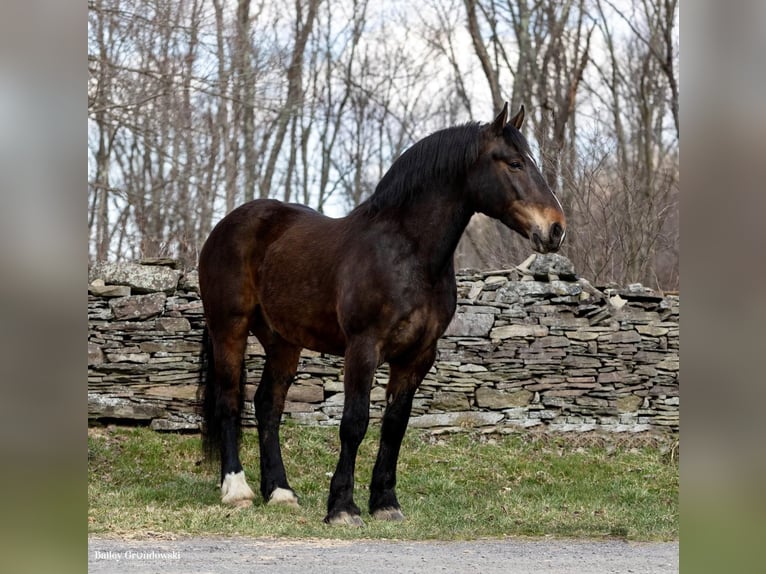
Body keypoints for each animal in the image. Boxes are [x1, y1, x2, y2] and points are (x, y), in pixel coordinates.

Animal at [198, 103, 568, 528]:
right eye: (514, 163)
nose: (555, 229)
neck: (407, 254)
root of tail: (227, 225)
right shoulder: (363, 349)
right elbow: (354, 423)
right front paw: (342, 507)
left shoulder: (417, 356)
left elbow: (394, 426)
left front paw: (385, 502)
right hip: (229, 328)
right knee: (229, 401)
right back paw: (236, 490)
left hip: (283, 341)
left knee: (267, 406)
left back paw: (279, 492)